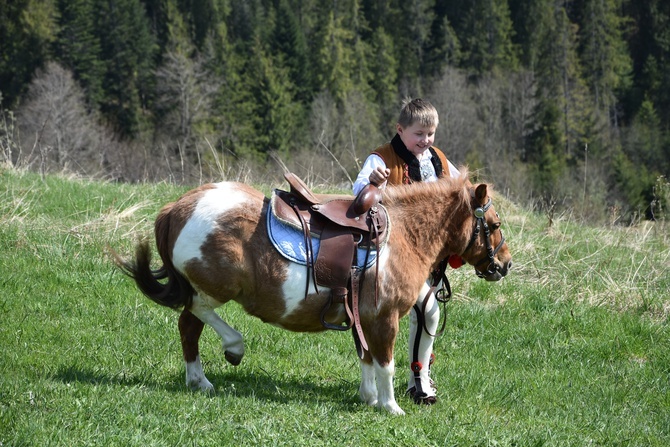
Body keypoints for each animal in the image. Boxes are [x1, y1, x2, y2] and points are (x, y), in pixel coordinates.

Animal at [117, 172, 516, 416]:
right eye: (494, 224)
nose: (505, 264)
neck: (404, 234)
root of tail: (178, 207)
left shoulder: (364, 317)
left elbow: (367, 357)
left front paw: (369, 397)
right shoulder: (384, 317)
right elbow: (385, 362)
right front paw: (390, 406)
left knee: (188, 325)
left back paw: (198, 380)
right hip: (214, 287)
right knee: (196, 310)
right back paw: (233, 346)